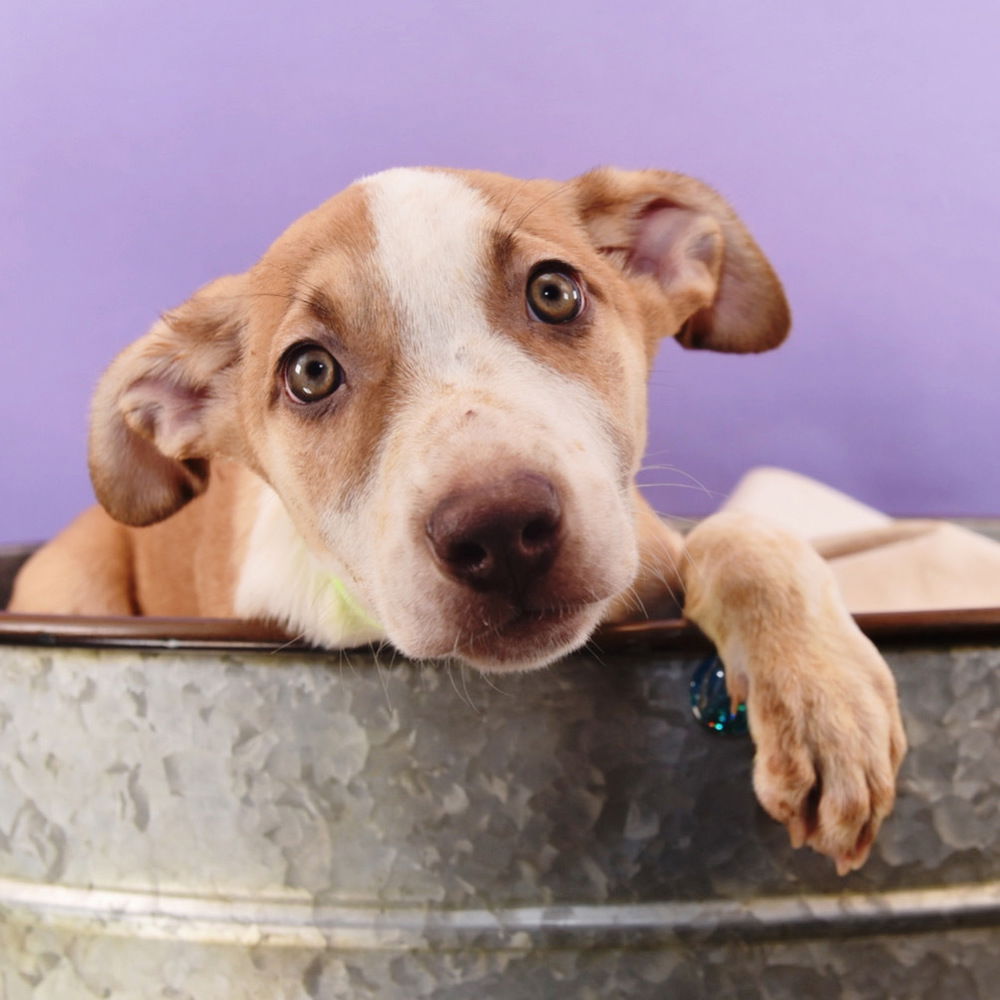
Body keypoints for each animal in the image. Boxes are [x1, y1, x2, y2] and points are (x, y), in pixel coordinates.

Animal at [11, 168, 908, 872]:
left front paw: (827, 702)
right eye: (309, 372)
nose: (501, 533)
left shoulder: (646, 539)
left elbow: (746, 536)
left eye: (555, 291)